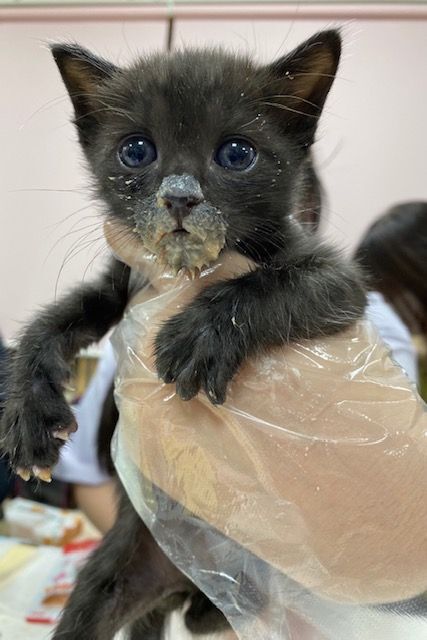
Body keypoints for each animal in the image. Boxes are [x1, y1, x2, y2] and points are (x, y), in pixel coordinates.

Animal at [1, 31, 366, 640]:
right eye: (136, 151)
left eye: (237, 154)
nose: (178, 195)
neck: (187, 272)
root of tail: (184, 584)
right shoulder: (118, 284)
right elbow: (51, 322)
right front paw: (29, 414)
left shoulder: (339, 281)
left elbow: (276, 284)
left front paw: (201, 335)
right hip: (117, 573)